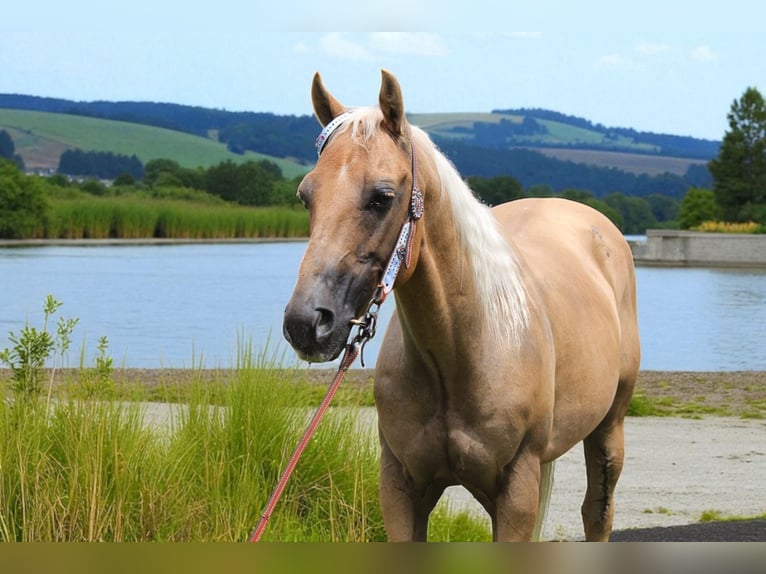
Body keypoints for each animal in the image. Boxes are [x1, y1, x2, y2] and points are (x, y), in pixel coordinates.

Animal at [283, 70, 641, 542]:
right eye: (306, 196)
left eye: (382, 196)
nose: (306, 323)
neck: (461, 351)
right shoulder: (401, 488)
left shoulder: (516, 490)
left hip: (607, 430)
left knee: (597, 512)